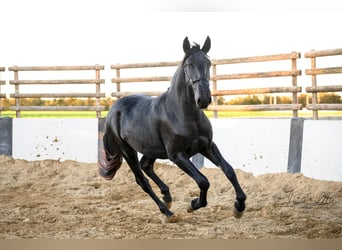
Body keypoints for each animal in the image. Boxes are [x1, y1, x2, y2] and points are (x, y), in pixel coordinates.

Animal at [99, 36, 246, 221]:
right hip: (128, 151)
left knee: (146, 165)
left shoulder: (207, 146)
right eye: (188, 65)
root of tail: (113, 110)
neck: (185, 115)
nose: (203, 98)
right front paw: (194, 204)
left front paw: (239, 206)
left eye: (208, 63)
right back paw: (167, 212)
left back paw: (167, 197)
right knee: (142, 181)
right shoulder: (177, 155)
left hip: (151, 149)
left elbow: (229, 170)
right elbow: (203, 181)